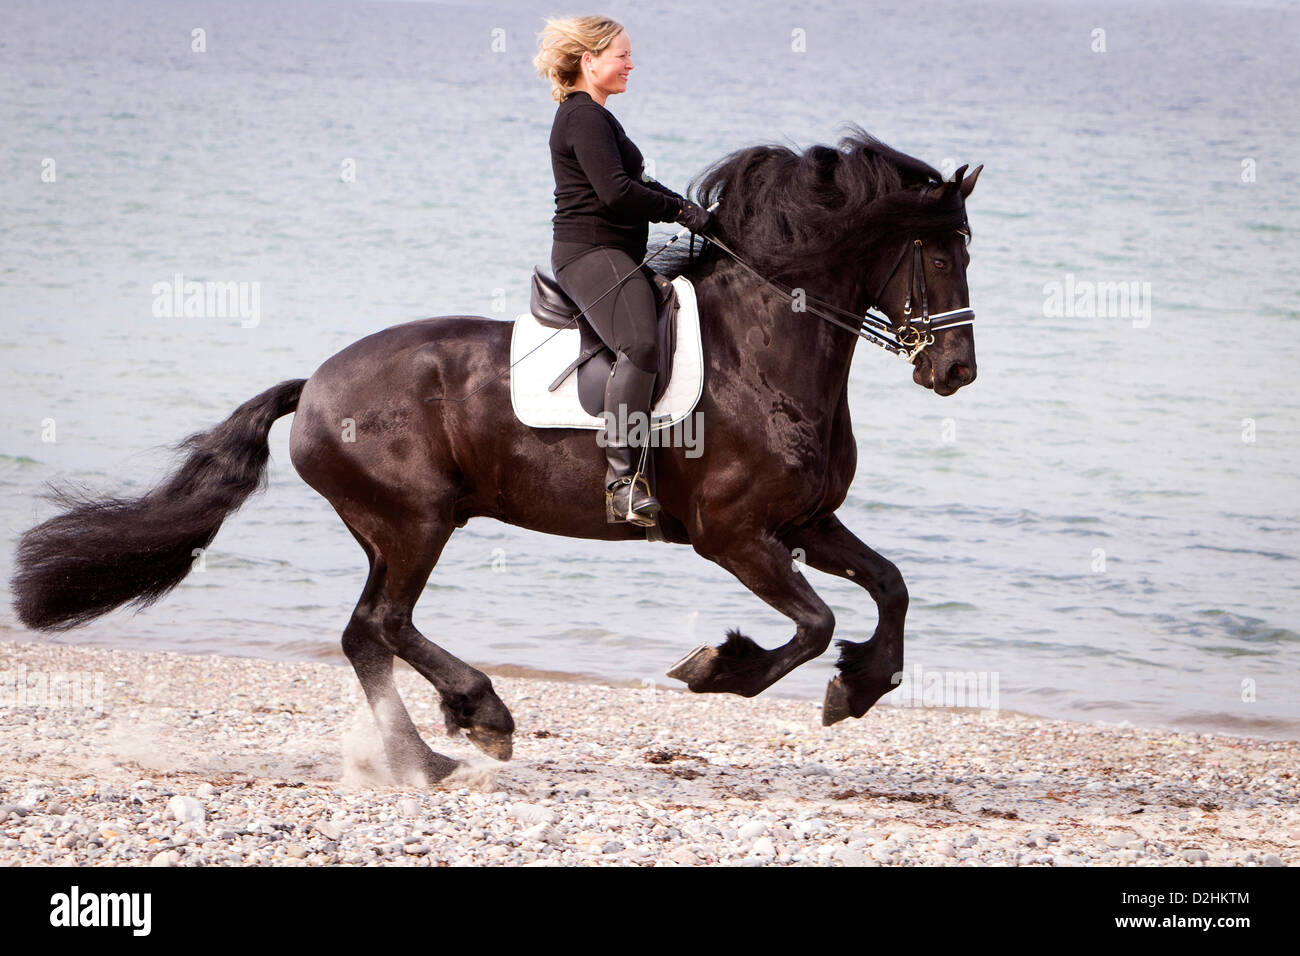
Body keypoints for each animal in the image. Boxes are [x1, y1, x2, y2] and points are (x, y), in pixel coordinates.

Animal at [11, 127, 982, 786]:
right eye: (934, 251)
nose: (956, 372)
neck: (764, 349)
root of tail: (314, 384)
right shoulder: (735, 537)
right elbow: (814, 622)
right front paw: (721, 670)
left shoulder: (807, 520)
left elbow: (891, 586)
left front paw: (861, 686)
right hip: (416, 520)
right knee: (382, 625)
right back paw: (473, 721)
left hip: (391, 528)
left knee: (364, 632)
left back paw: (435, 752)